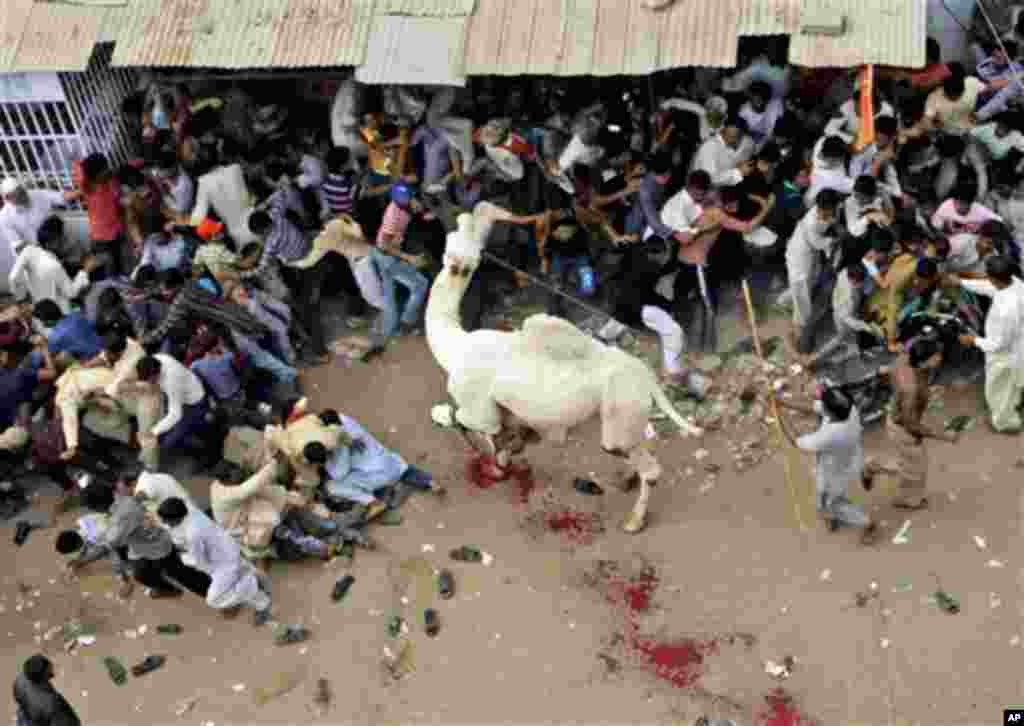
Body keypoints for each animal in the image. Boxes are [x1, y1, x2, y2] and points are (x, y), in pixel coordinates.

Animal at [425, 200, 704, 528]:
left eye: (450, 245)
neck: (455, 346)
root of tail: (647, 377)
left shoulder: (478, 406)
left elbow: (464, 420)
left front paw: (492, 464)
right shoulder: (511, 415)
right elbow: (509, 440)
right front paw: (502, 463)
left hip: (620, 408)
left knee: (645, 466)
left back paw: (633, 522)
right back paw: (625, 482)